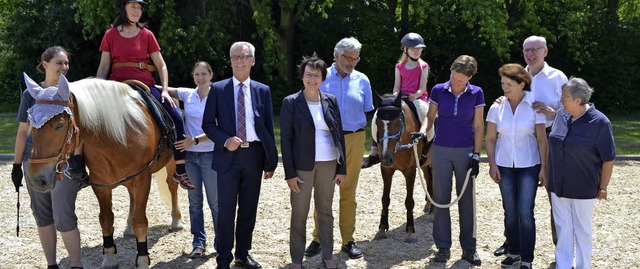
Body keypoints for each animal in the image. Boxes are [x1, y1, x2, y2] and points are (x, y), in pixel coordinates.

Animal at [23, 72, 180, 266]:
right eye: (31, 122)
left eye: (59, 125)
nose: (37, 179)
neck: (119, 136)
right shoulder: (101, 185)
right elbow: (105, 219)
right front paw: (109, 257)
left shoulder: (142, 181)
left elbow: (141, 222)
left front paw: (142, 260)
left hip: (171, 163)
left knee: (172, 185)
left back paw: (176, 220)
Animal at [370, 93, 436, 241]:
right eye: (377, 123)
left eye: (398, 123)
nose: (386, 158)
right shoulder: (386, 170)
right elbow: (385, 199)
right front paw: (382, 229)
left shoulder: (410, 171)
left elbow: (409, 201)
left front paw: (410, 231)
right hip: (425, 163)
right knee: (429, 179)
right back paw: (428, 206)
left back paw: (433, 213)